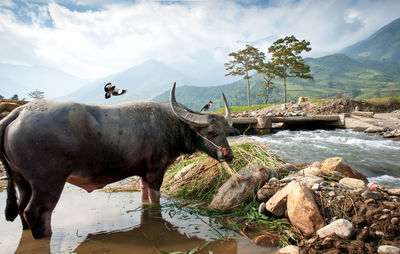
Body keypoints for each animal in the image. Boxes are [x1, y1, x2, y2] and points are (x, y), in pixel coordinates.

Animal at [0, 82, 233, 239]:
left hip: (22, 181)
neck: (172, 124)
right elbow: (155, 200)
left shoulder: (143, 174)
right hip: (48, 182)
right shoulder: (156, 172)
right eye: (211, 132)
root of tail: (19, 112)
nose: (228, 155)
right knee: (37, 212)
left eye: (227, 131)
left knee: (21, 207)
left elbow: (145, 199)